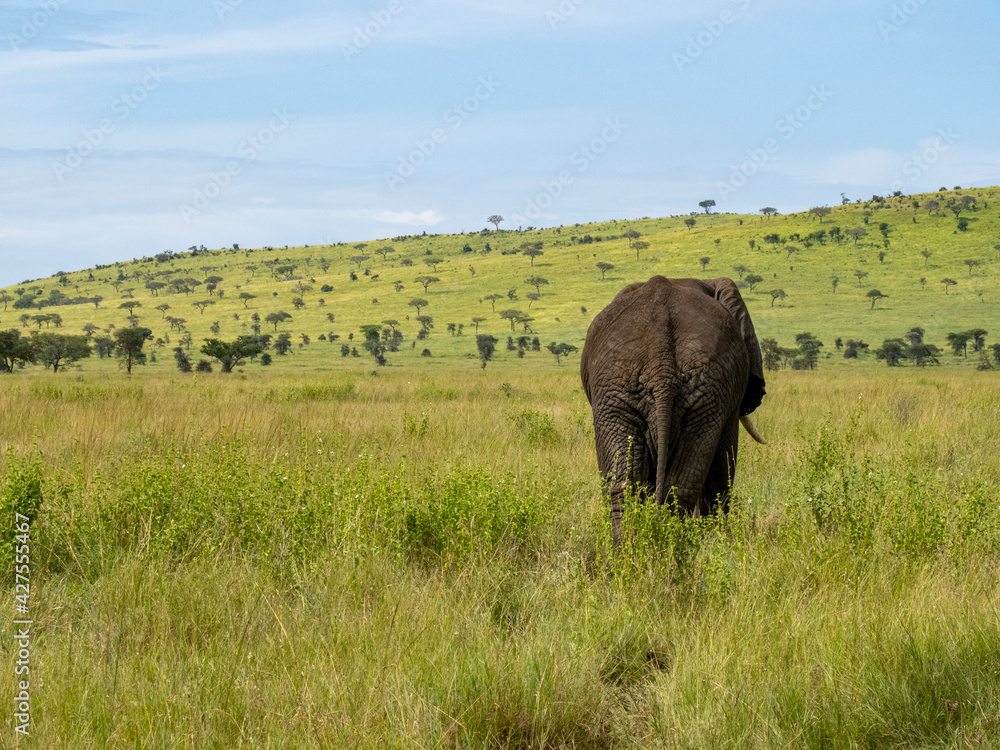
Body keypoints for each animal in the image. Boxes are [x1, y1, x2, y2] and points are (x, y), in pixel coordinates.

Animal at [580, 276, 767, 544]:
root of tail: (662, 361)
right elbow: (724, 468)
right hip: (694, 392)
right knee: (682, 487)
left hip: (623, 391)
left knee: (633, 488)